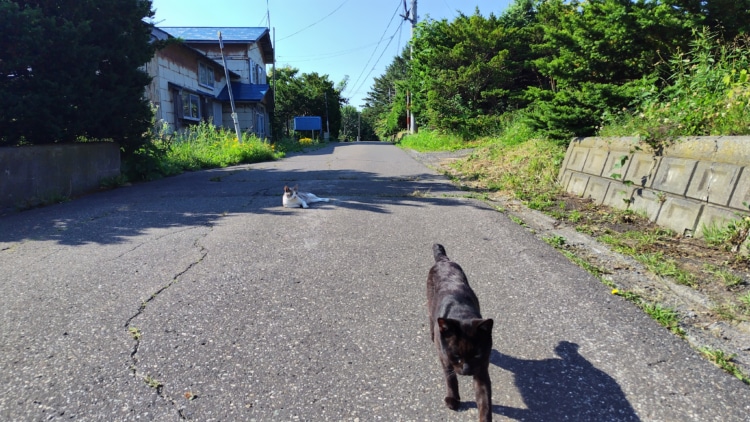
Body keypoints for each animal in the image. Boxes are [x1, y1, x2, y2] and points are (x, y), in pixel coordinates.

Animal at [426, 244, 496, 422]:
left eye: (476, 355)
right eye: (457, 356)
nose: (466, 370)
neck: (461, 314)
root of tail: (443, 260)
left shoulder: (481, 369)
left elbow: (485, 401)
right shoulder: (445, 359)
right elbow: (451, 379)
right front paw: (453, 400)